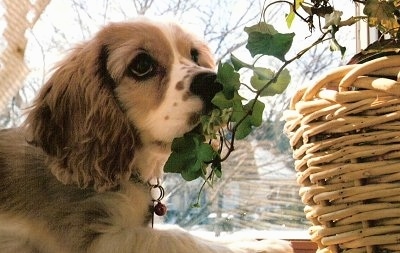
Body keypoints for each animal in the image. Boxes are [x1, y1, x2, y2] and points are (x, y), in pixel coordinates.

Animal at [0, 18, 294, 253]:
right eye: (141, 65)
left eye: (194, 55)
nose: (214, 81)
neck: (133, 172)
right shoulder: (89, 238)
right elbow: (178, 237)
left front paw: (254, 241)